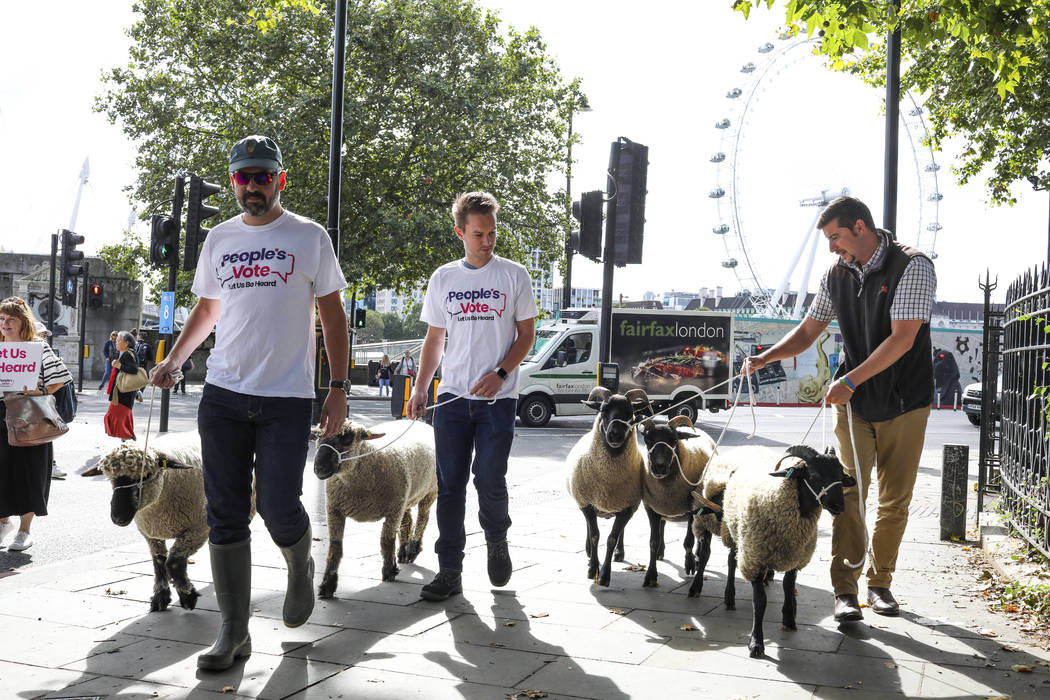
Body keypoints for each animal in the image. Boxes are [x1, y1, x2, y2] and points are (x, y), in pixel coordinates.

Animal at [98, 432, 211, 612]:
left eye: (146, 476)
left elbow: (173, 562)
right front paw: (160, 598)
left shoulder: (198, 529)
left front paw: (188, 596)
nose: (118, 518)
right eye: (110, 478)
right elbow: (159, 562)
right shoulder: (151, 533)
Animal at [308, 421, 436, 596]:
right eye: (318, 436)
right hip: (406, 496)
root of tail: (422, 422)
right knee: (407, 520)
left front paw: (389, 571)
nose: (319, 468)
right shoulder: (334, 510)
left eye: (348, 439)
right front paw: (328, 584)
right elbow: (335, 547)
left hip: (430, 490)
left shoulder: (393, 510)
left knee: (423, 517)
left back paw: (413, 549)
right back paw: (403, 552)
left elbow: (386, 541)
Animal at [571, 386, 651, 587]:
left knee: (620, 532)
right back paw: (589, 552)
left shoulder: (627, 507)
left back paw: (619, 553)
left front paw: (605, 575)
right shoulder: (587, 503)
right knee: (589, 528)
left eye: (630, 413)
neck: (608, 481)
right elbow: (595, 535)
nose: (615, 434)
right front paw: (593, 569)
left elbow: (612, 538)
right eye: (603, 410)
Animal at [634, 415, 718, 591]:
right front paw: (651, 575)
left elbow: (688, 541)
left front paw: (690, 563)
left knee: (699, 535)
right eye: (648, 439)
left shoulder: (691, 509)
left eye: (673, 440)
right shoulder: (651, 508)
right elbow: (653, 542)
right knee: (663, 524)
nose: (659, 467)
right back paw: (661, 552)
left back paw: (697, 557)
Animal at [692, 447, 856, 659]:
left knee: (731, 559)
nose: (839, 507)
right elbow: (760, 601)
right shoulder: (754, 557)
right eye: (815, 475)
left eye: (841, 476)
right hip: (714, 523)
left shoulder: (796, 556)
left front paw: (789, 619)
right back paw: (699, 589)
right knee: (707, 555)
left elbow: (788, 586)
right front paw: (756, 643)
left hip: (737, 531)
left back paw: (730, 596)